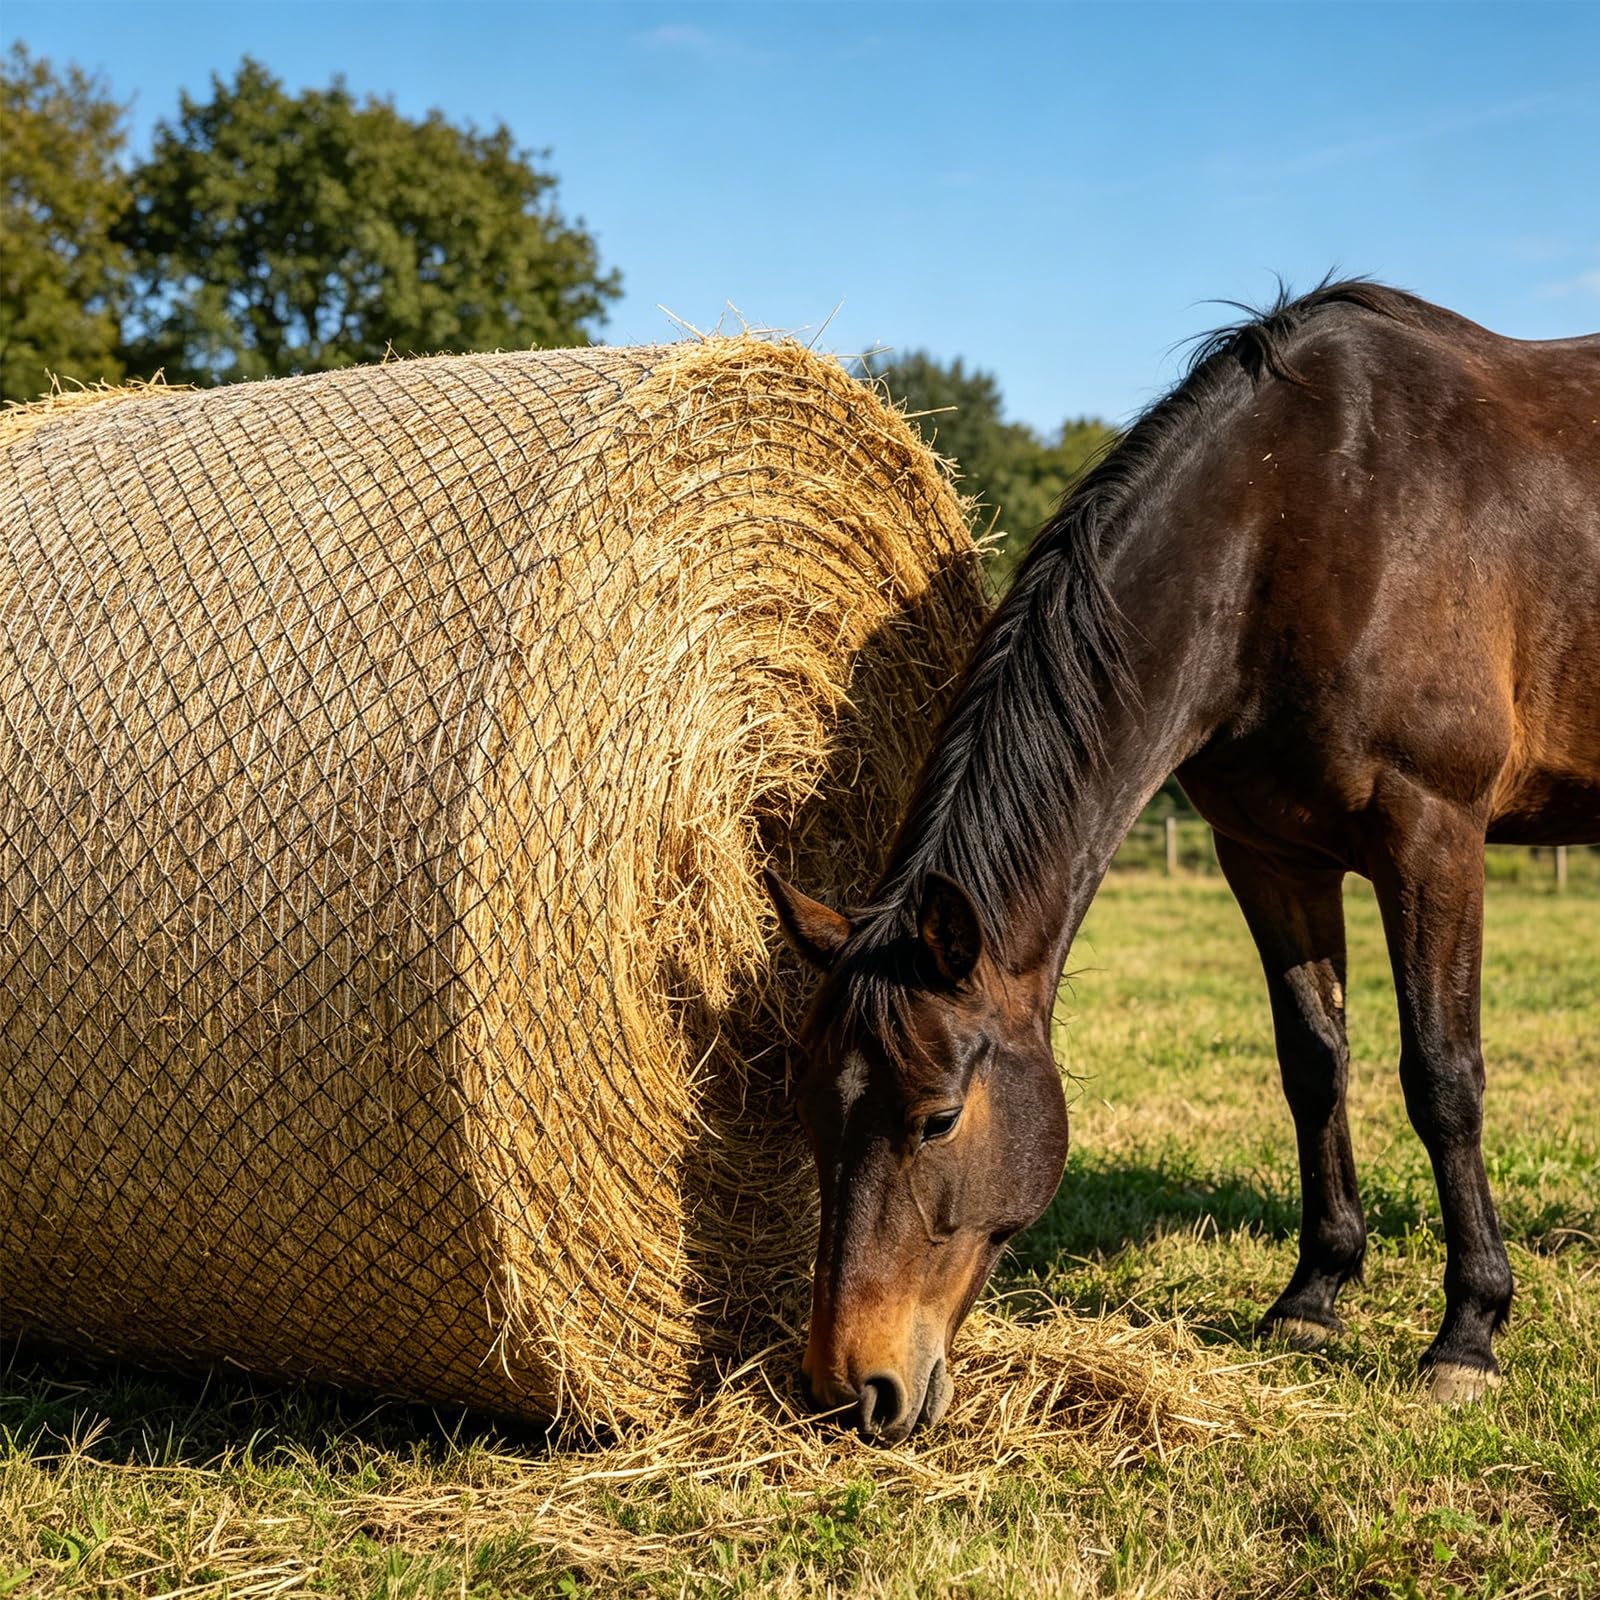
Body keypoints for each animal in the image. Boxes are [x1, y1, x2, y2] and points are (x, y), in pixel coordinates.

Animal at [764, 280, 1600, 1442]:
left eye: (937, 1119)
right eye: (805, 1108)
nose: (852, 1388)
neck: (1310, 516)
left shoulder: (1433, 836)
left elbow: (1443, 1077)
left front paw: (1467, 1333)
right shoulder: (1268, 853)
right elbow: (1313, 1063)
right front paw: (1311, 1297)